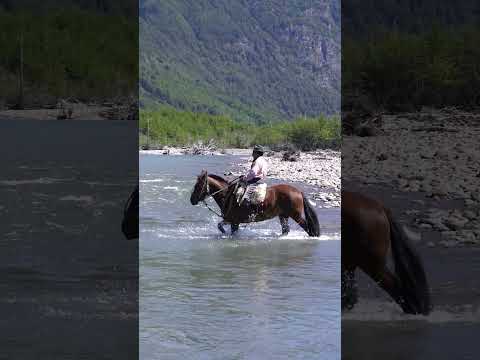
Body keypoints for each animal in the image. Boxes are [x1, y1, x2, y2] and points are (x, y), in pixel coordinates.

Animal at [189, 171, 320, 238]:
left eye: (198, 186)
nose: (192, 200)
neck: (228, 195)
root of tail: (298, 191)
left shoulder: (234, 221)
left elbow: (226, 229)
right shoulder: (231, 220)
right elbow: (220, 226)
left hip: (296, 216)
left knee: (308, 228)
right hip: (283, 215)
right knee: (285, 230)